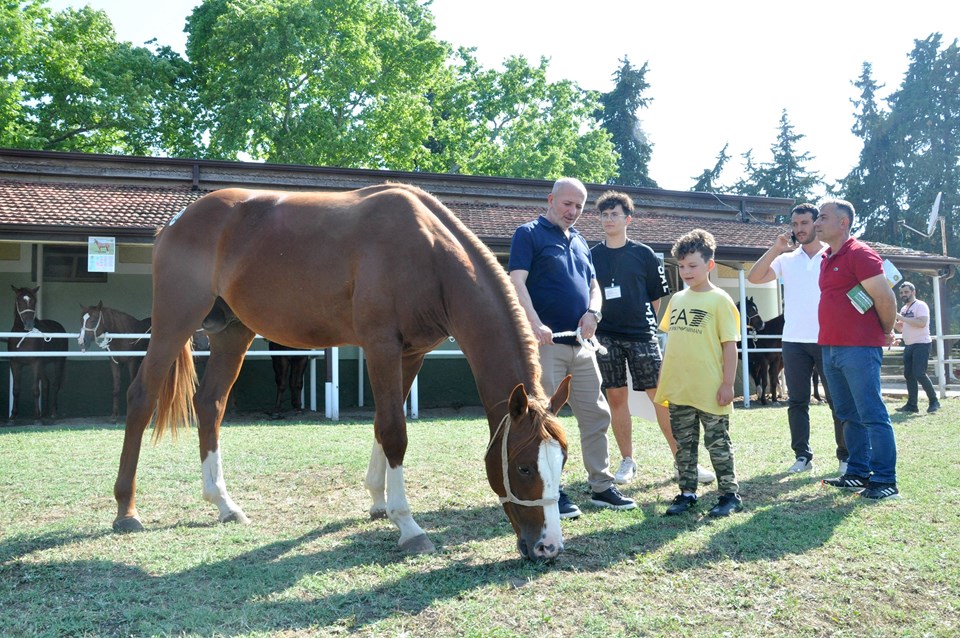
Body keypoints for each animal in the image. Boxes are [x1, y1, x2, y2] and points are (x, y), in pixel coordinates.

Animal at [6, 288, 67, 422]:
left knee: (55, 384)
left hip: (59, 361)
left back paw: (53, 413)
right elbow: (16, 389)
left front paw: (37, 416)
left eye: (34, 301)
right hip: (43, 365)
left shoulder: (35, 363)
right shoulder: (15, 363)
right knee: (46, 384)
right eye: (19, 301)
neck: (23, 337)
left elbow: (35, 389)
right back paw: (45, 412)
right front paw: (13, 415)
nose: (29, 325)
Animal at [116, 186, 572, 564]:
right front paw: (408, 525)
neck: (427, 252)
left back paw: (224, 504)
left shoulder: (412, 353)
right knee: (141, 397)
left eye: (563, 461)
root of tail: (176, 221)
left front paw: (378, 501)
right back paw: (126, 510)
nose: (548, 547)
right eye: (524, 468)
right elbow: (394, 432)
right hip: (176, 319)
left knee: (210, 404)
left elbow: (382, 424)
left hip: (232, 332)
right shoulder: (381, 346)